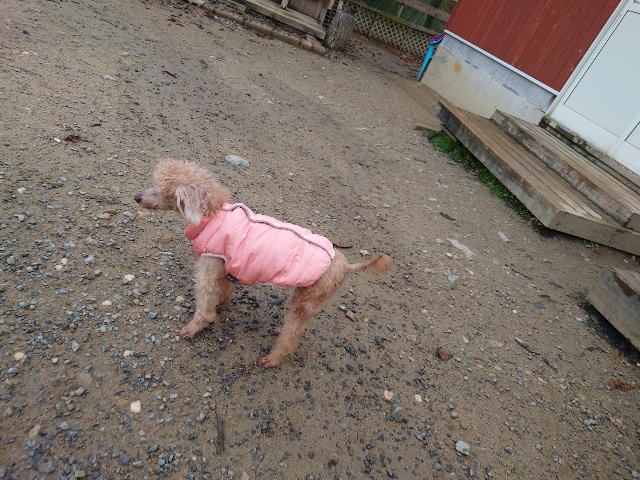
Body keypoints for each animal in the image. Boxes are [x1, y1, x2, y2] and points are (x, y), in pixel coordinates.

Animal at [134, 159, 391, 367]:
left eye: (162, 191)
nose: (136, 197)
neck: (214, 214)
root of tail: (346, 266)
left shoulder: (210, 266)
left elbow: (205, 306)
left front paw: (194, 328)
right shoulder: (225, 267)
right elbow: (224, 291)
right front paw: (221, 305)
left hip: (307, 299)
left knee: (291, 337)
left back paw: (272, 359)